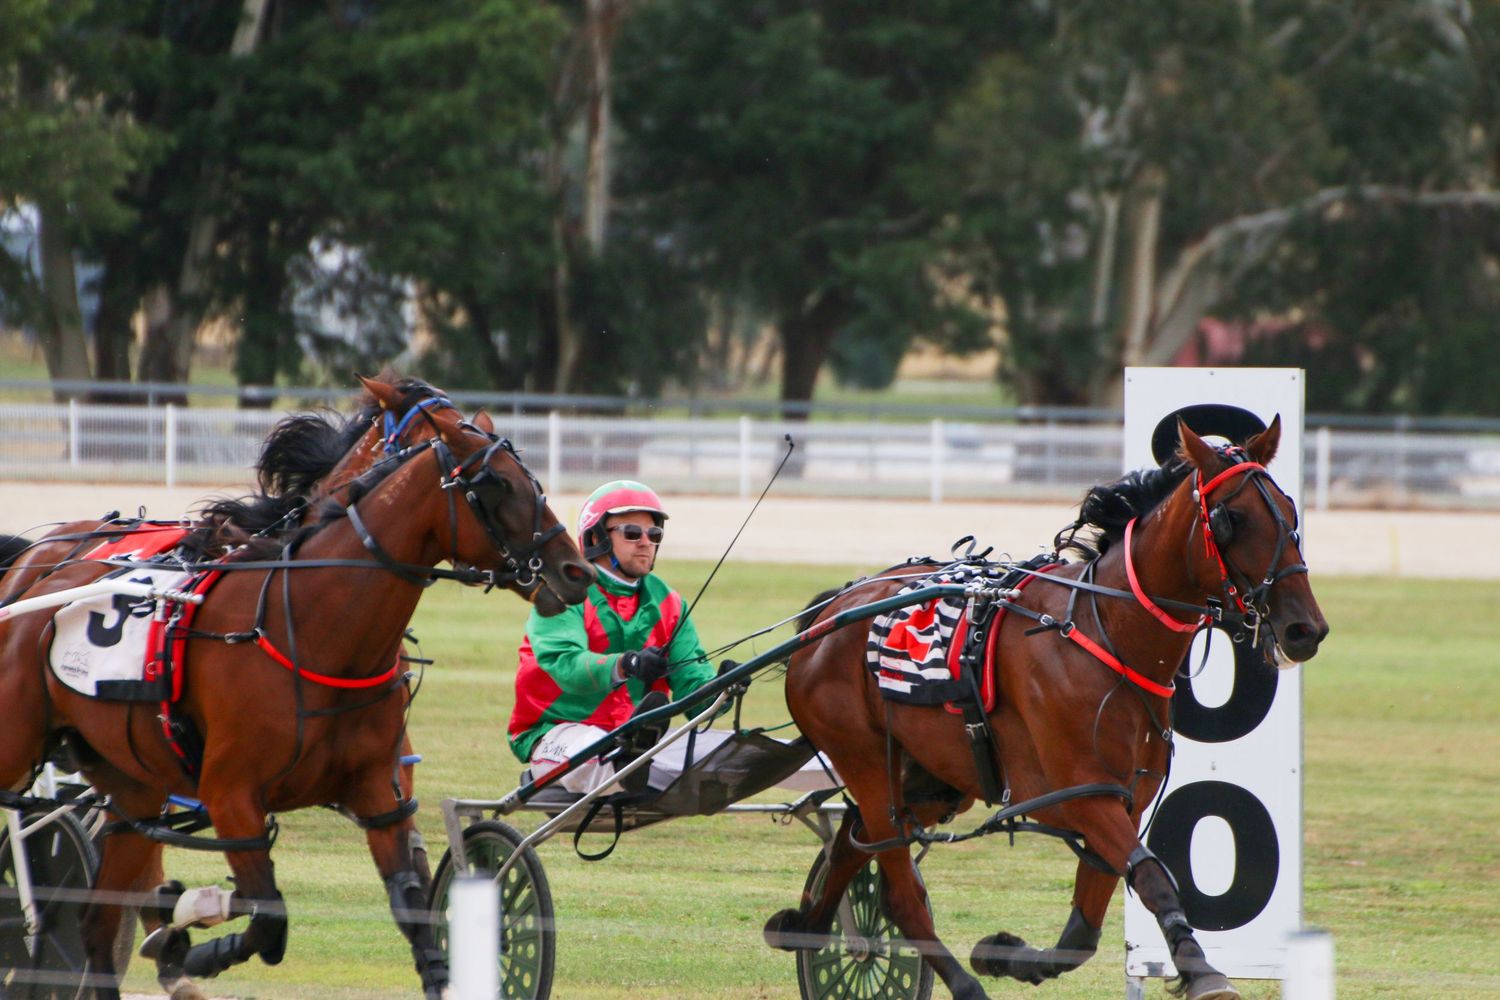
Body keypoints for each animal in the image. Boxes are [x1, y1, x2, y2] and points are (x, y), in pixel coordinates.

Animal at [0, 376, 595, 999]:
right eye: (497, 481)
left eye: (532, 478)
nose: (576, 571)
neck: (312, 629)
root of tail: (34, 577)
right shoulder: (231, 797)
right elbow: (266, 917)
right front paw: (188, 936)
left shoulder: (381, 794)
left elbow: (414, 914)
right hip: (19, 745)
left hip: (132, 781)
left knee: (97, 920)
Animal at [766, 417, 1328, 1000]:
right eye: (1232, 518)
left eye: (1289, 513)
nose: (1303, 628)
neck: (1107, 633)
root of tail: (829, 614)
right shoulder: (1083, 794)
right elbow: (1153, 877)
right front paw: (1202, 971)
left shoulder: (1125, 800)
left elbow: (1082, 932)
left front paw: (1005, 952)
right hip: (866, 760)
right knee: (899, 891)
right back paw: (961, 984)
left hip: (930, 777)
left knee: (853, 844)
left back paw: (808, 925)